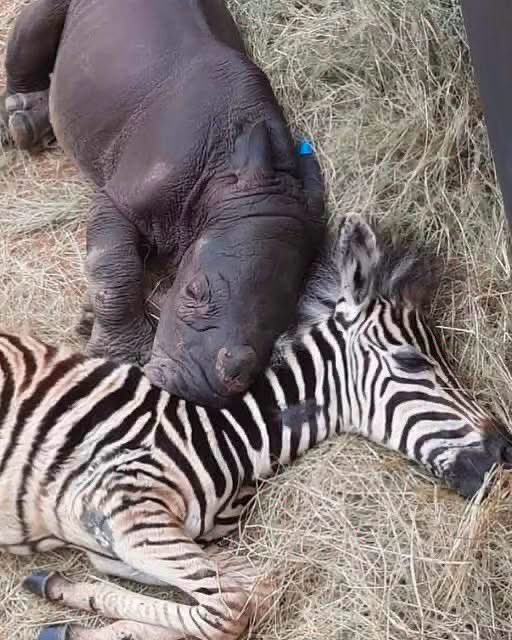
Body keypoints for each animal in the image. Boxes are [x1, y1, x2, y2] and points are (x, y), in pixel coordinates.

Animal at [0, 216, 510, 640]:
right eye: (411, 361)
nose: (505, 450)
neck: (228, 435)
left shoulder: (116, 539)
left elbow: (255, 587)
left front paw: (65, 596)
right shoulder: (124, 509)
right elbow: (227, 610)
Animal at [1, 0, 325, 407]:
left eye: (282, 325)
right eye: (194, 292)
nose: (198, 388)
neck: (227, 184)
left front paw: (91, 320)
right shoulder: (120, 201)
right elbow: (114, 270)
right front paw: (121, 356)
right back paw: (21, 123)